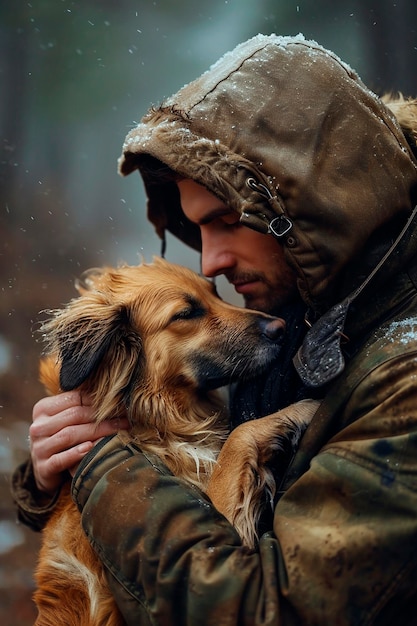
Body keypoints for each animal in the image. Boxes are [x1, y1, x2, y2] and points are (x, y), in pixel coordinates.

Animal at [33, 256, 318, 620]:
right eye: (186, 313)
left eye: (215, 293)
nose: (280, 327)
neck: (155, 422)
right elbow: (238, 439)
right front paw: (303, 408)